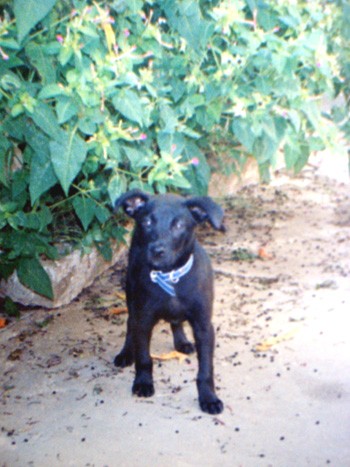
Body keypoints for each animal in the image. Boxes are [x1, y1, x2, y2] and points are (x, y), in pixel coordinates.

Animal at [115, 188, 224, 414]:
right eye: (147, 222)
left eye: (179, 225)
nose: (157, 251)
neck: (170, 276)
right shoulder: (144, 319)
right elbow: (144, 358)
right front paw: (143, 382)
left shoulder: (203, 325)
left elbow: (206, 369)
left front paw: (208, 398)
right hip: (131, 294)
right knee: (130, 323)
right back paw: (126, 353)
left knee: (176, 321)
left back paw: (182, 341)